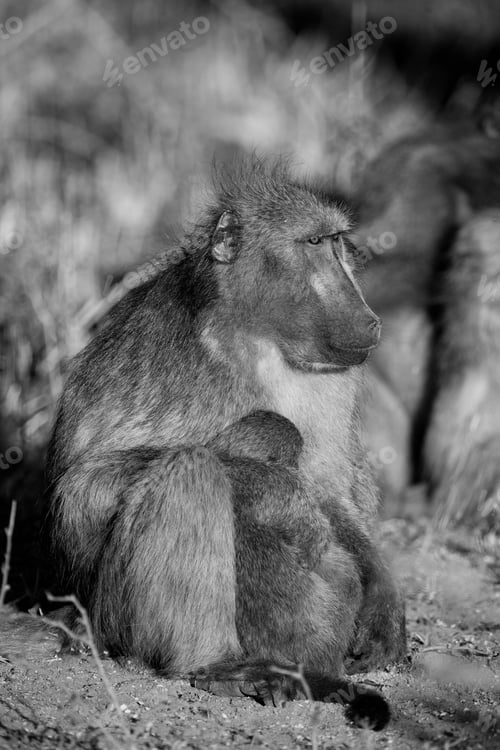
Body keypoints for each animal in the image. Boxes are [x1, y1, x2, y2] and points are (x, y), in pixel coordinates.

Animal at [46, 157, 405, 730]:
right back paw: (217, 664)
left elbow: (330, 482)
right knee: (190, 469)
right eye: (314, 242)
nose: (368, 318)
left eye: (337, 243)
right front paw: (267, 483)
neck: (255, 333)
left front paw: (384, 599)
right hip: (112, 618)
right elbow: (82, 488)